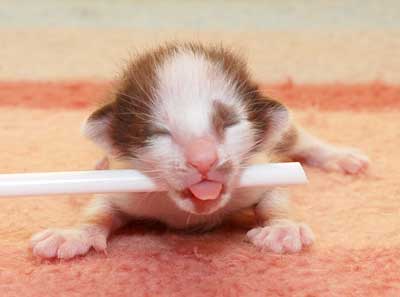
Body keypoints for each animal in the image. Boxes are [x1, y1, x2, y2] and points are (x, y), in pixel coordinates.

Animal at [31, 42, 368, 258]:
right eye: (159, 132)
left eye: (229, 123)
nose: (203, 160)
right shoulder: (128, 184)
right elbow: (100, 209)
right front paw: (73, 233)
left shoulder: (259, 168)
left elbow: (276, 195)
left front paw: (283, 230)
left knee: (300, 138)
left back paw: (341, 156)